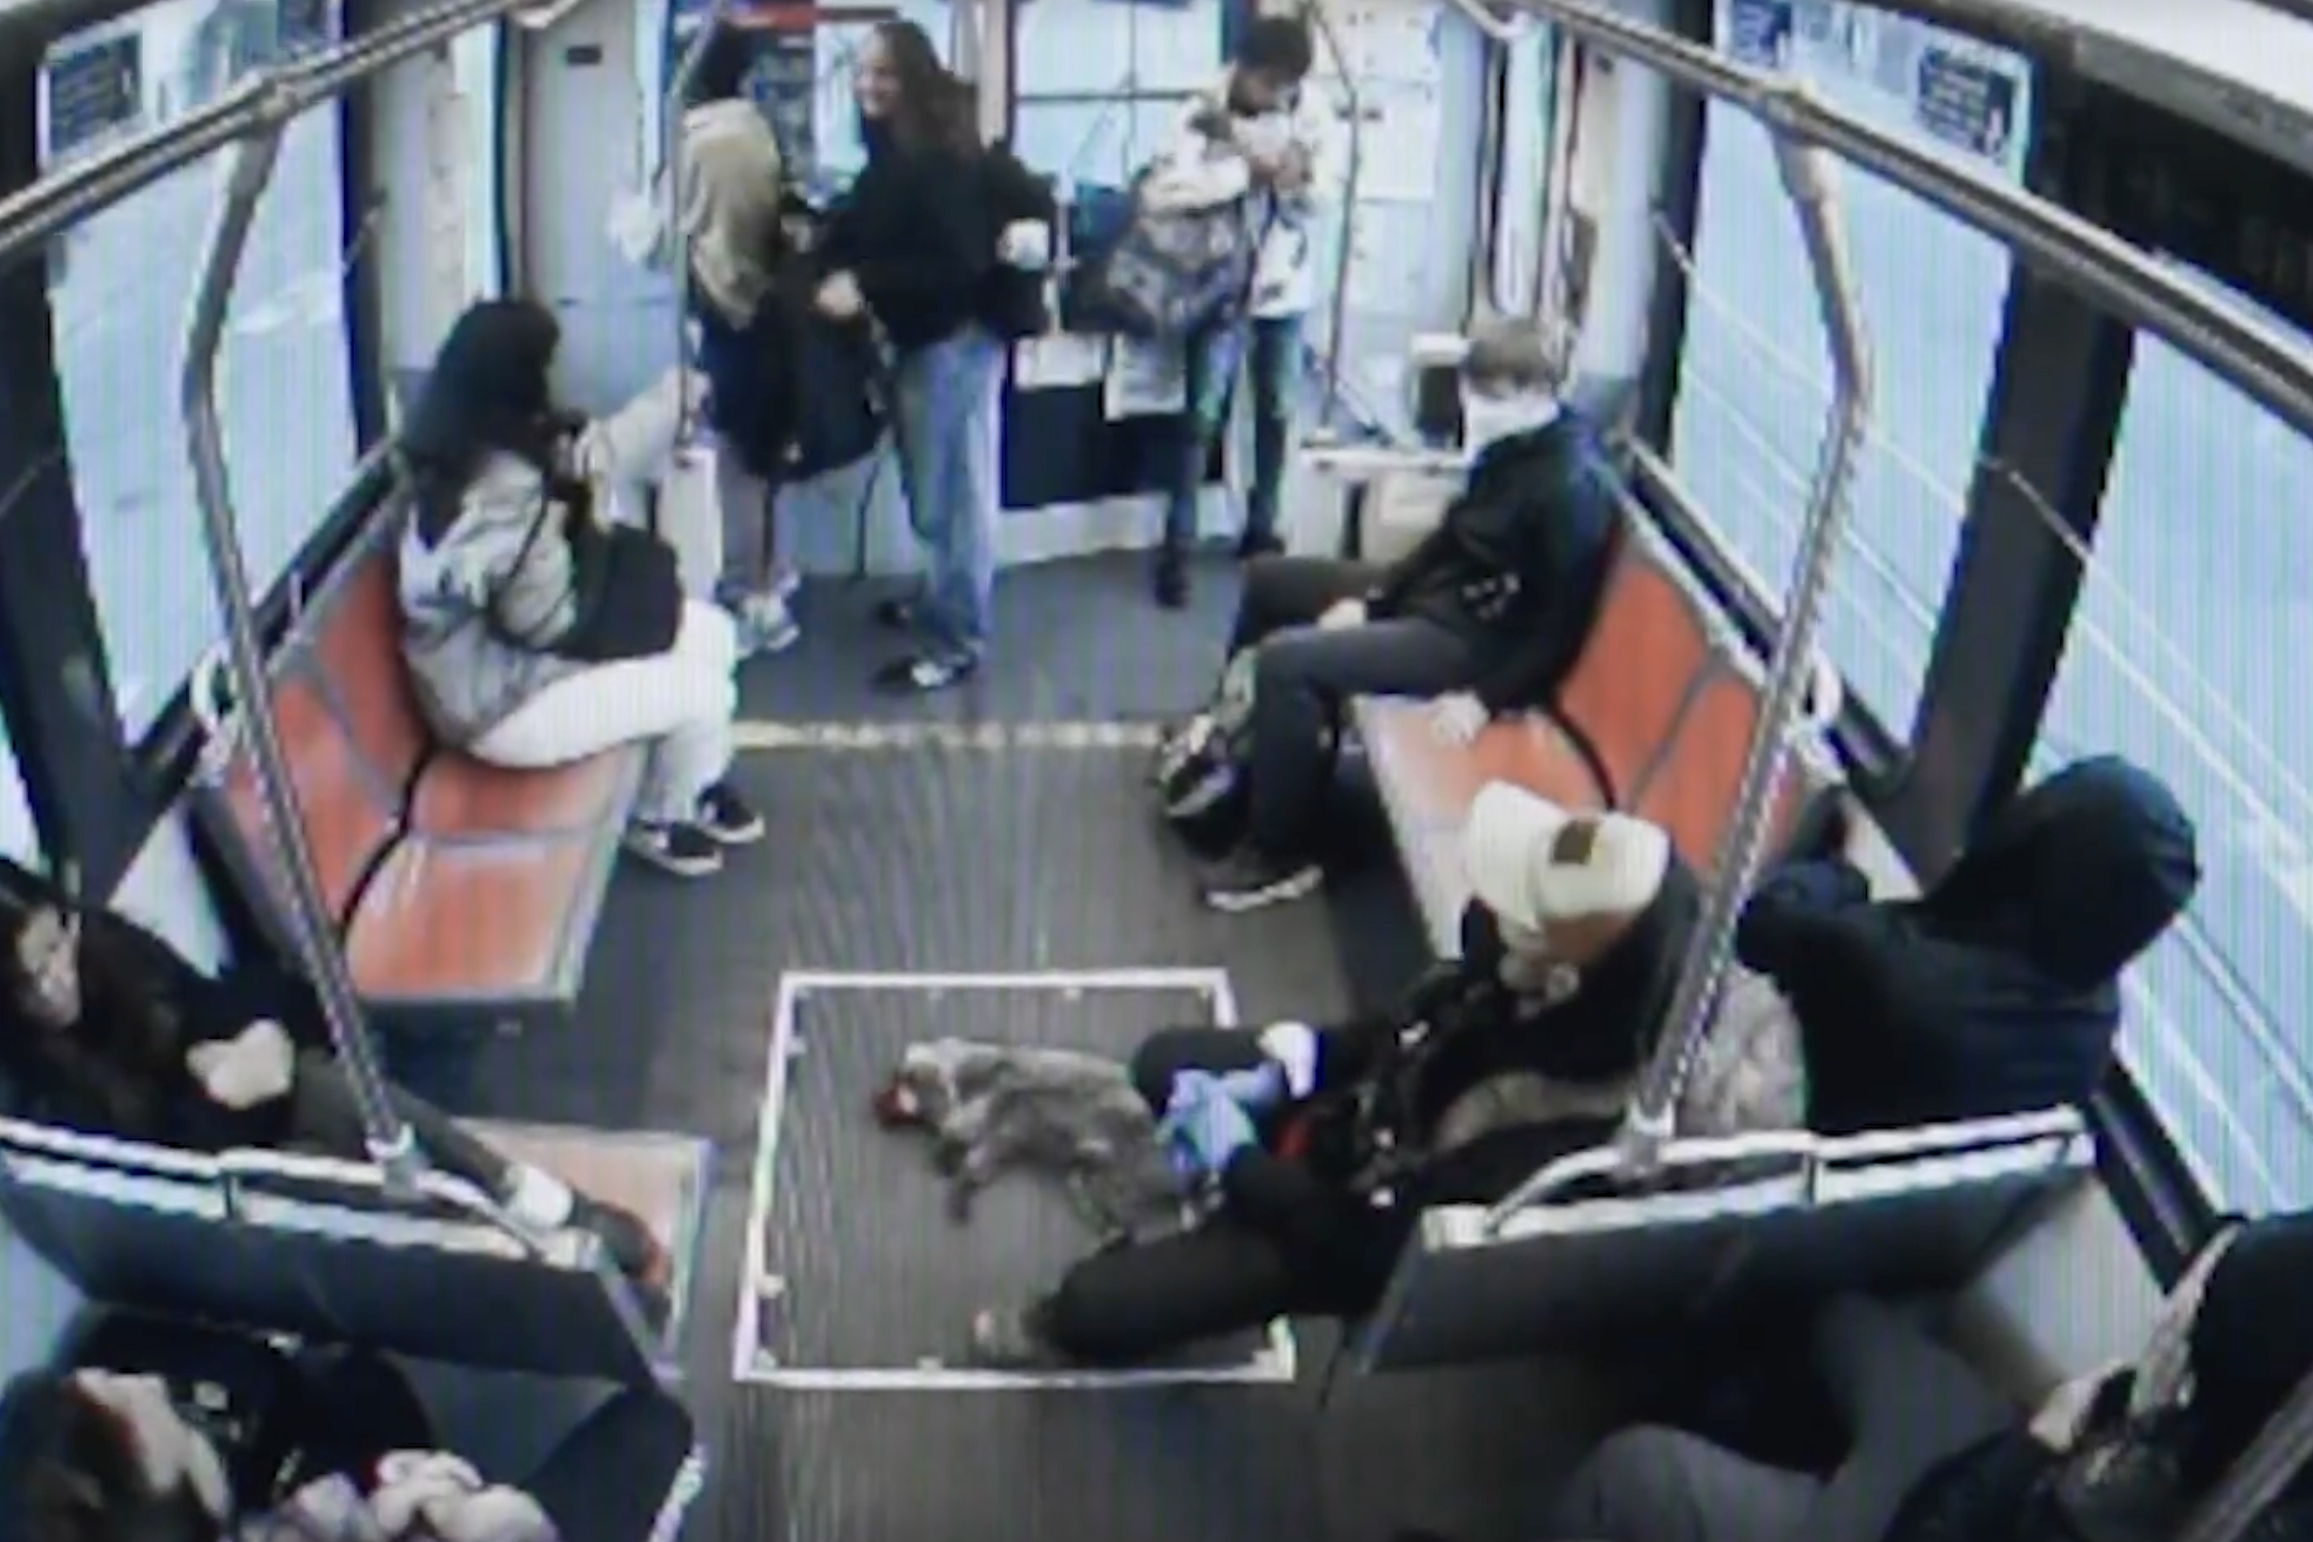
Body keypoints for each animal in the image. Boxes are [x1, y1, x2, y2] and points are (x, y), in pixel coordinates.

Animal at [869, 1031, 1193, 1248]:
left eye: (894, 1085)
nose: (874, 1102)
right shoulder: (1001, 1127)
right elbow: (985, 1152)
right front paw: (963, 1178)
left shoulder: (989, 1088)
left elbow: (971, 1121)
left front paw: (946, 1146)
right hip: (1103, 1166)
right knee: (1089, 1185)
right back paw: (1117, 1231)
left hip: (1132, 1139)